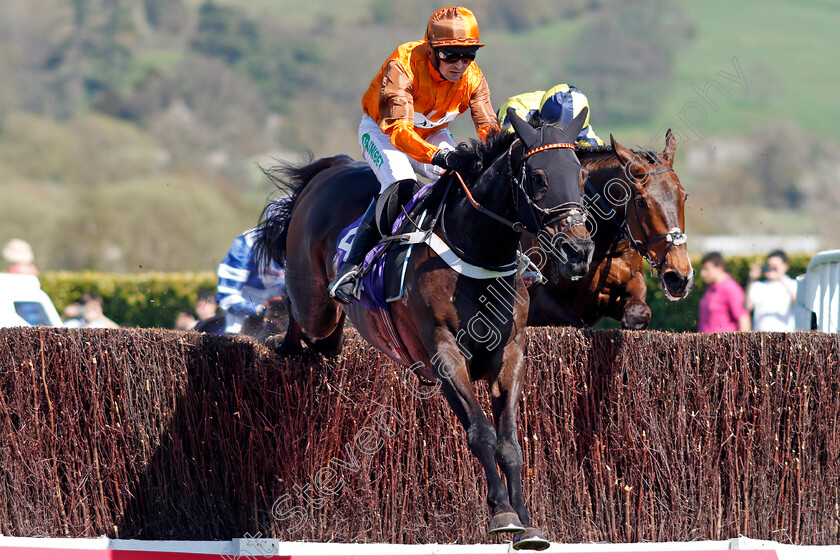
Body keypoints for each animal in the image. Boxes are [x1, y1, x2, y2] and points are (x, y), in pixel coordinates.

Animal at [253, 108, 592, 548]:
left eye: (581, 177)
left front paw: (527, 521)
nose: (579, 251)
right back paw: (282, 343)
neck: (476, 250)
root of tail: (332, 167)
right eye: (538, 178)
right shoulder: (444, 352)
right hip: (314, 300)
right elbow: (481, 432)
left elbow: (509, 443)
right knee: (300, 312)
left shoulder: (510, 353)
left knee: (327, 341)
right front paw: (502, 513)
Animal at [528, 130, 692, 328]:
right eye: (640, 201)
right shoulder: (540, 301)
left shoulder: (628, 283)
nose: (679, 277)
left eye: (684, 196)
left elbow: (639, 313)